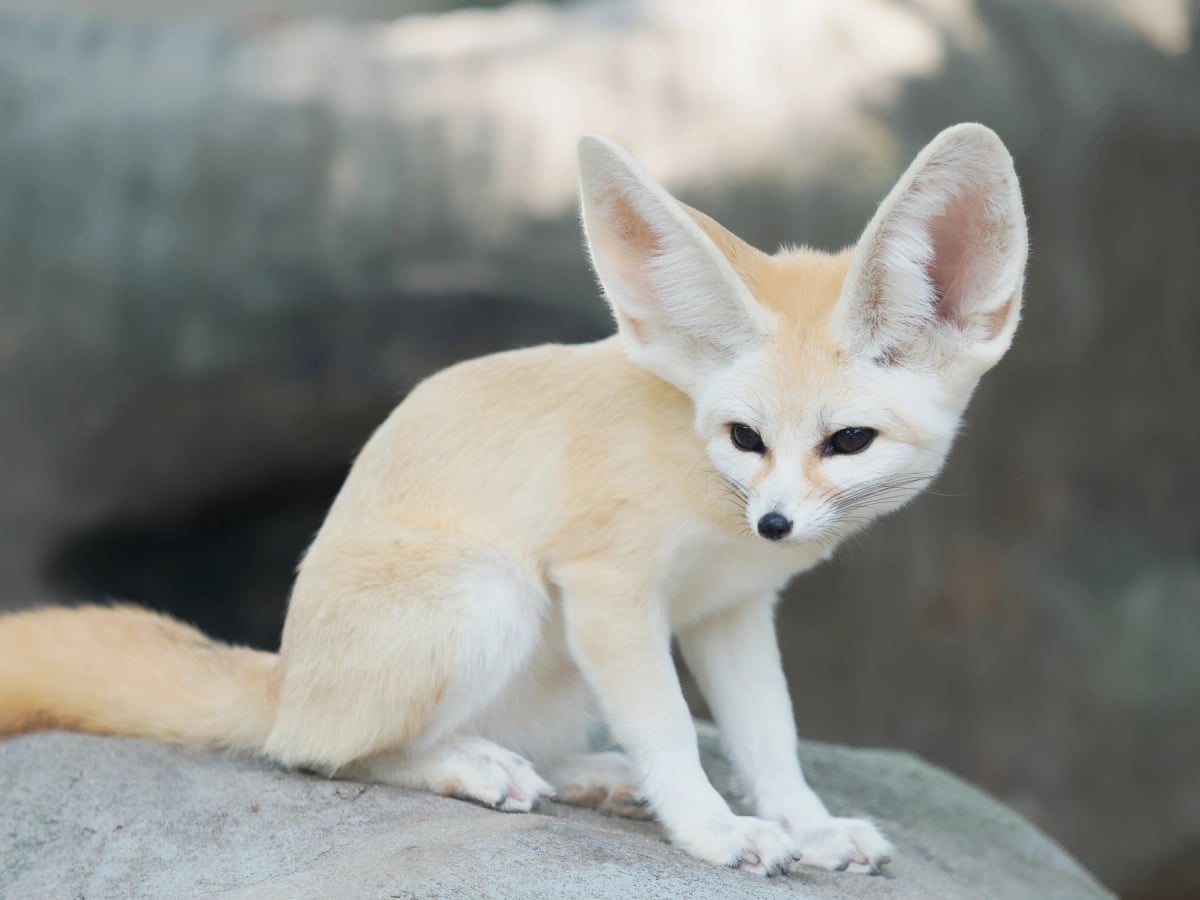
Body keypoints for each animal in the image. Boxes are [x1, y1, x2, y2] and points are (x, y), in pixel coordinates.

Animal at [0, 123, 1027, 877]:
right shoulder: (607, 589)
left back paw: (584, 775)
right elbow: (671, 732)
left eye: (847, 441)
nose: (773, 523)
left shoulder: (729, 610)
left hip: (552, 658)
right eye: (746, 437)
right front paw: (712, 830)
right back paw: (470, 765)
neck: (695, 466)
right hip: (495, 592)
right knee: (315, 752)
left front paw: (806, 827)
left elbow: (770, 740)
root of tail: (283, 674)